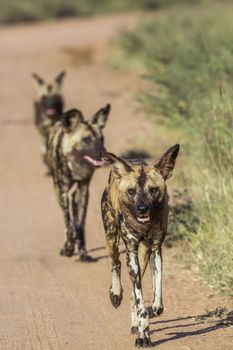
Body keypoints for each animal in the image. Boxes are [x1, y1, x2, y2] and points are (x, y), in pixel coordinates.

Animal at [46, 104, 110, 260]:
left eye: (101, 138)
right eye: (86, 139)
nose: (103, 153)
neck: (76, 162)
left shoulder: (83, 189)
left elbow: (80, 224)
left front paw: (82, 251)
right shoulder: (61, 192)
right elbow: (69, 225)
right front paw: (69, 247)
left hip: (76, 194)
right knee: (68, 221)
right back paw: (66, 247)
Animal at [101, 144, 179, 348]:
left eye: (153, 190)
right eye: (131, 191)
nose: (142, 209)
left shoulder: (156, 249)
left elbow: (156, 293)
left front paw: (151, 315)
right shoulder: (131, 251)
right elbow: (140, 300)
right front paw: (144, 334)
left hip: (143, 255)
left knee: (132, 296)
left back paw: (136, 324)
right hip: (112, 238)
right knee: (115, 263)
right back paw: (116, 294)